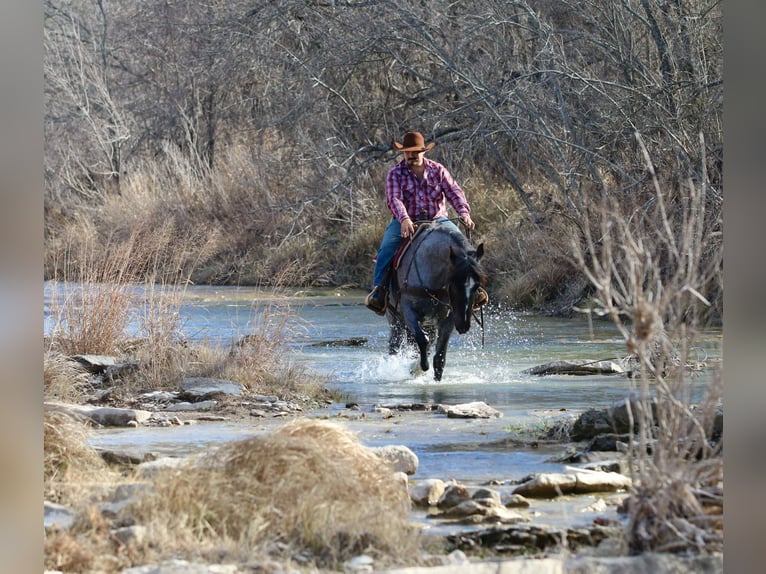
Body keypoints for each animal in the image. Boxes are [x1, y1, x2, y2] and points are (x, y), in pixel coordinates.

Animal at [385, 221, 486, 381]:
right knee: (395, 345)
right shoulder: (408, 312)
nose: (463, 325)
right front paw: (420, 367)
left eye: (477, 286)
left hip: (429, 324)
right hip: (395, 319)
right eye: (453, 283)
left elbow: (439, 358)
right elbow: (422, 340)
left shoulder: (448, 319)